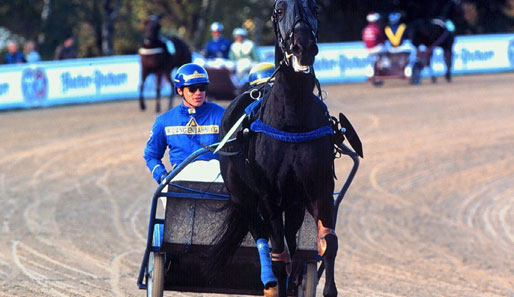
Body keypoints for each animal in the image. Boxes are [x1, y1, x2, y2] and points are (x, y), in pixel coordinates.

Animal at [208, 1, 340, 294]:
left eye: (314, 7)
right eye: (279, 10)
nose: (303, 46)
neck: (292, 122)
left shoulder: (319, 191)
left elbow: (329, 244)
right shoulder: (268, 198)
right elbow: (279, 256)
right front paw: (277, 282)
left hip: (294, 204)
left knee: (290, 239)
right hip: (244, 198)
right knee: (262, 239)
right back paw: (269, 283)